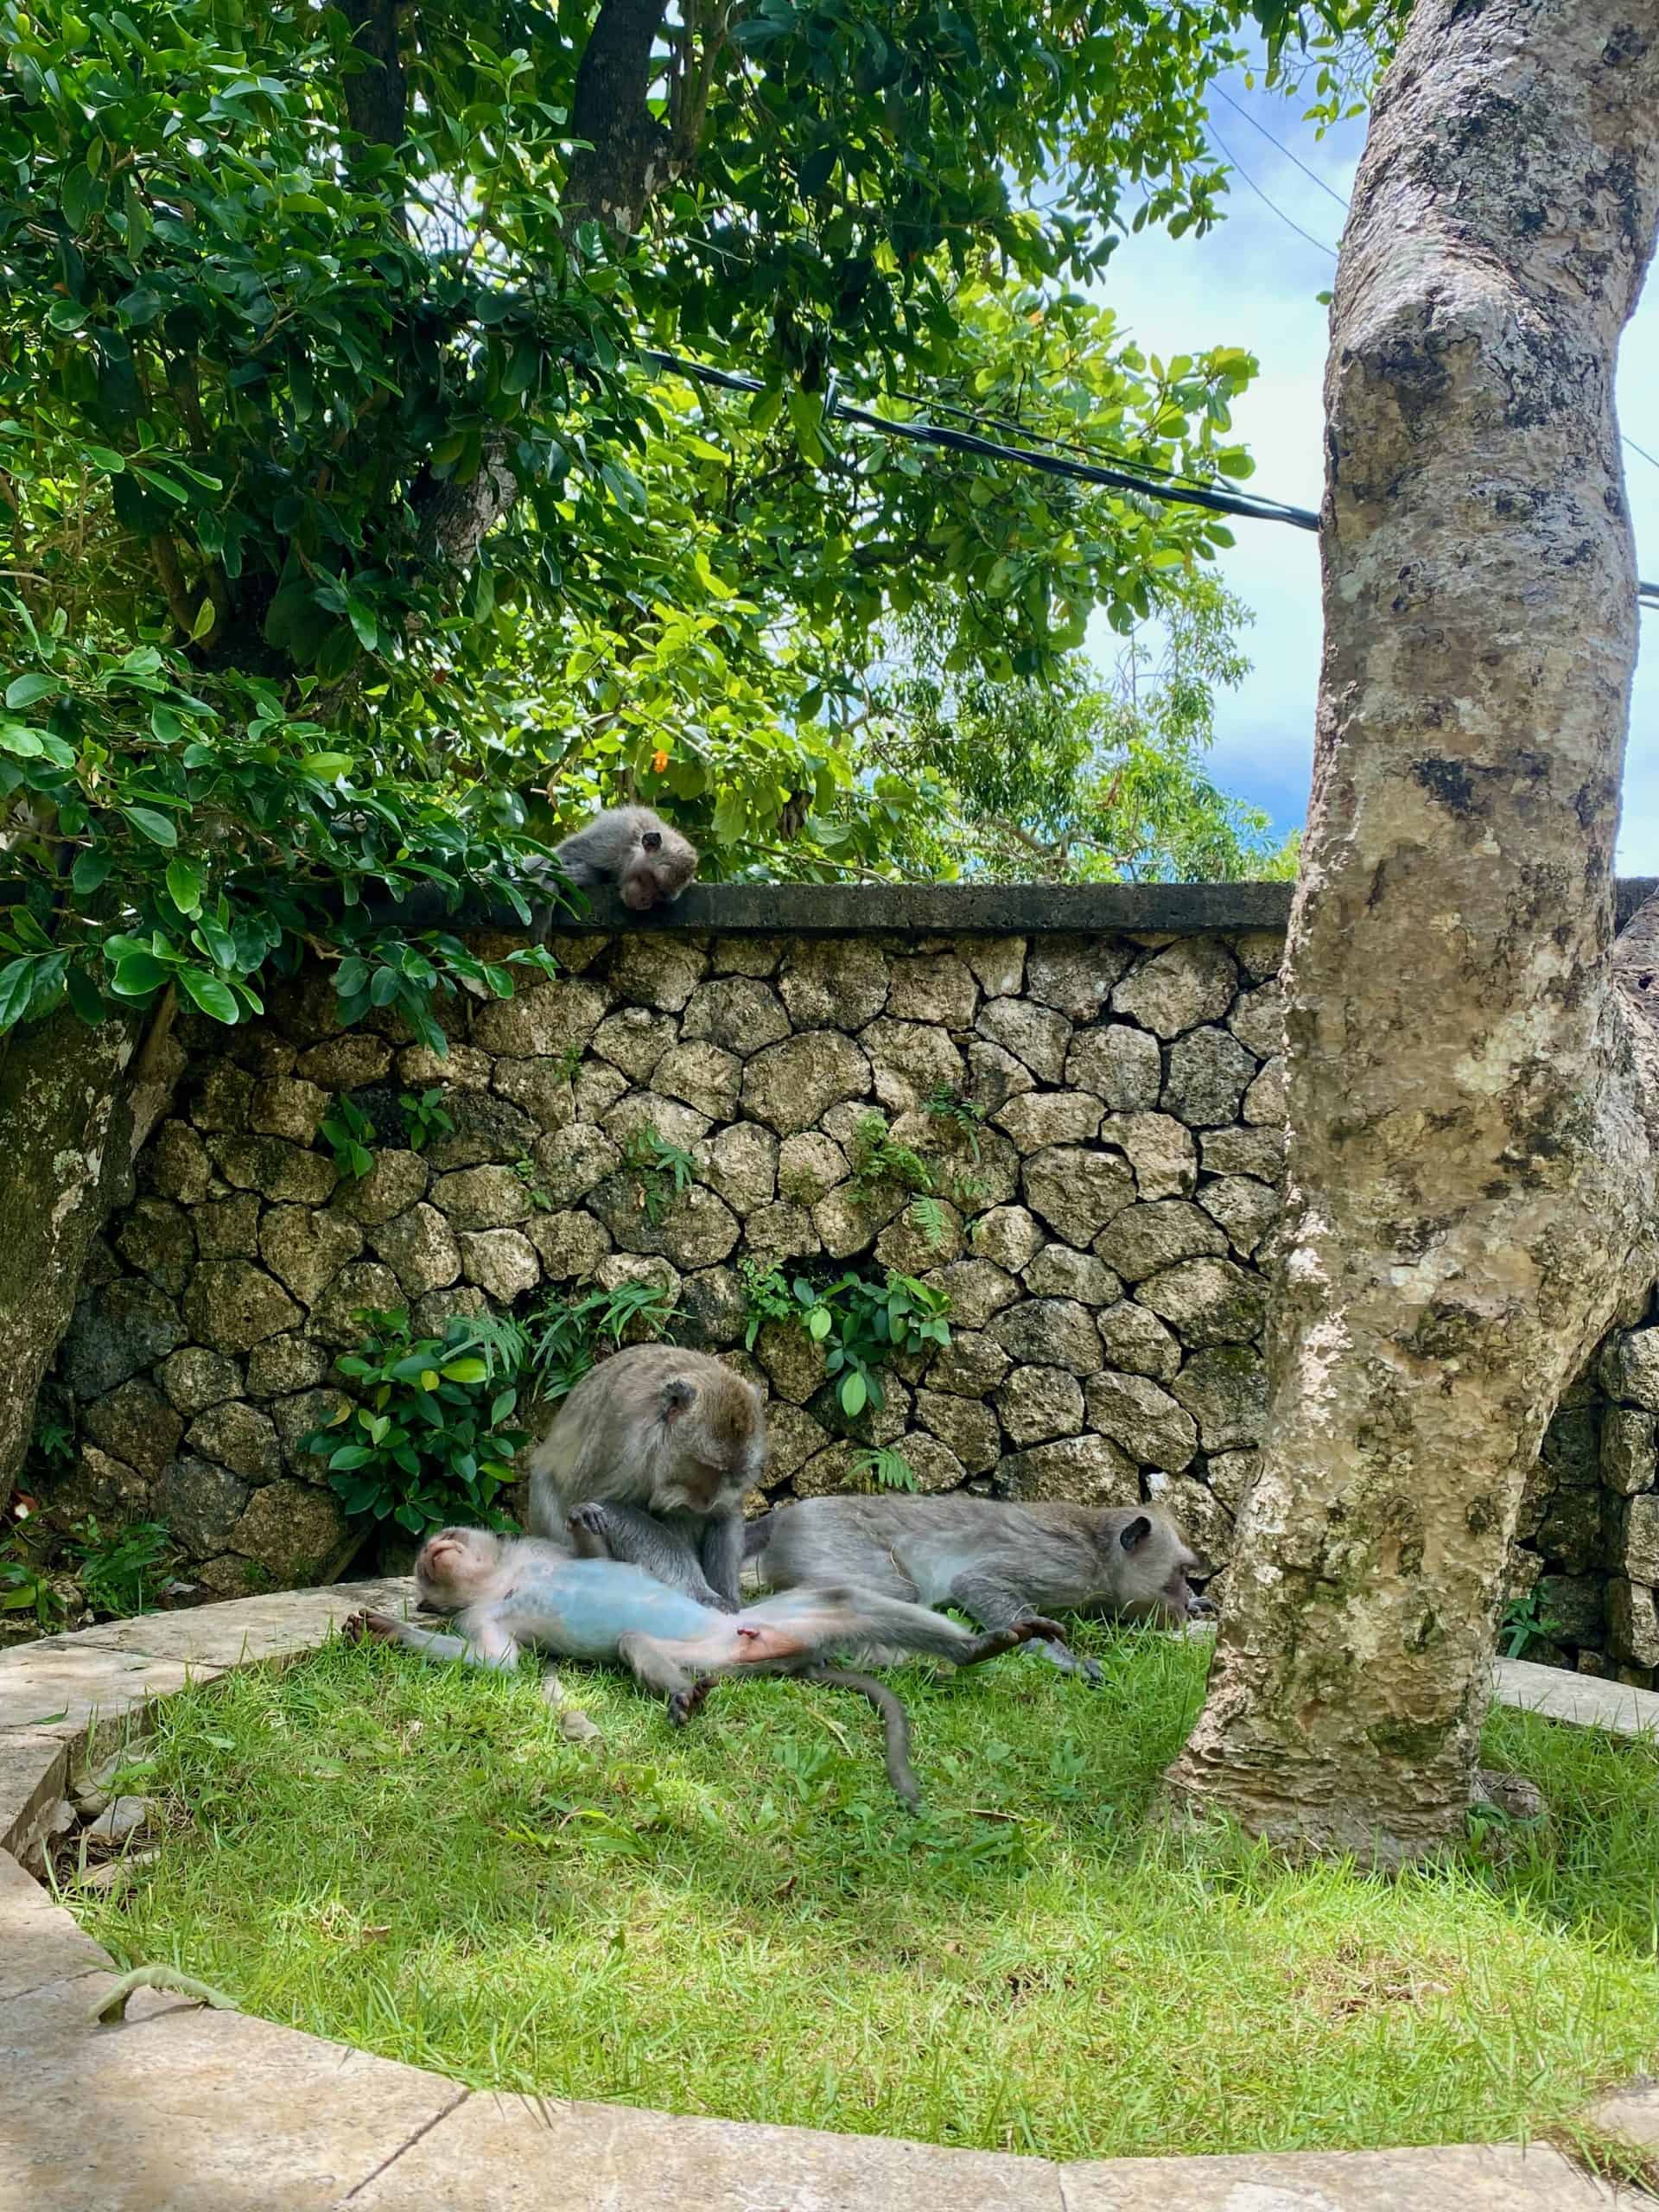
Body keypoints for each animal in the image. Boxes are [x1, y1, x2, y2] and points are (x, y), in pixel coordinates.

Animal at [344, 1522, 1067, 1807]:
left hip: (775, 1621)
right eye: (425, 1557)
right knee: (637, 1643)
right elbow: (499, 1667)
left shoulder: (536, 1551)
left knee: (842, 1598)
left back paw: (978, 1647)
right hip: (721, 1657)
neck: (502, 1580)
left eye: (446, 1538)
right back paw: (683, 1697)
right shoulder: (481, 1618)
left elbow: (597, 1554)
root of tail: (781, 1652)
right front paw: (388, 1629)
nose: (434, 1548)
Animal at [527, 1345, 763, 1613]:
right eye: (707, 1467)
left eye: (733, 1474)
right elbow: (597, 1500)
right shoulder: (624, 1434)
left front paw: (727, 1596)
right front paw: (700, 1591)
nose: (706, 1501)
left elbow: (724, 1515)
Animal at [551, 806, 698, 911]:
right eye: (654, 882)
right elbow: (563, 852)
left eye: (660, 895)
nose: (645, 901)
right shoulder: (608, 843)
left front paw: (589, 875)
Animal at [744, 1497, 1214, 1686]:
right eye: (1180, 1572)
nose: (1183, 1602)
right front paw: (1068, 1662)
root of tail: (783, 1516)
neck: (1099, 1551)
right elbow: (976, 1582)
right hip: (831, 1538)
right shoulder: (1064, 1566)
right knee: (891, 1589)